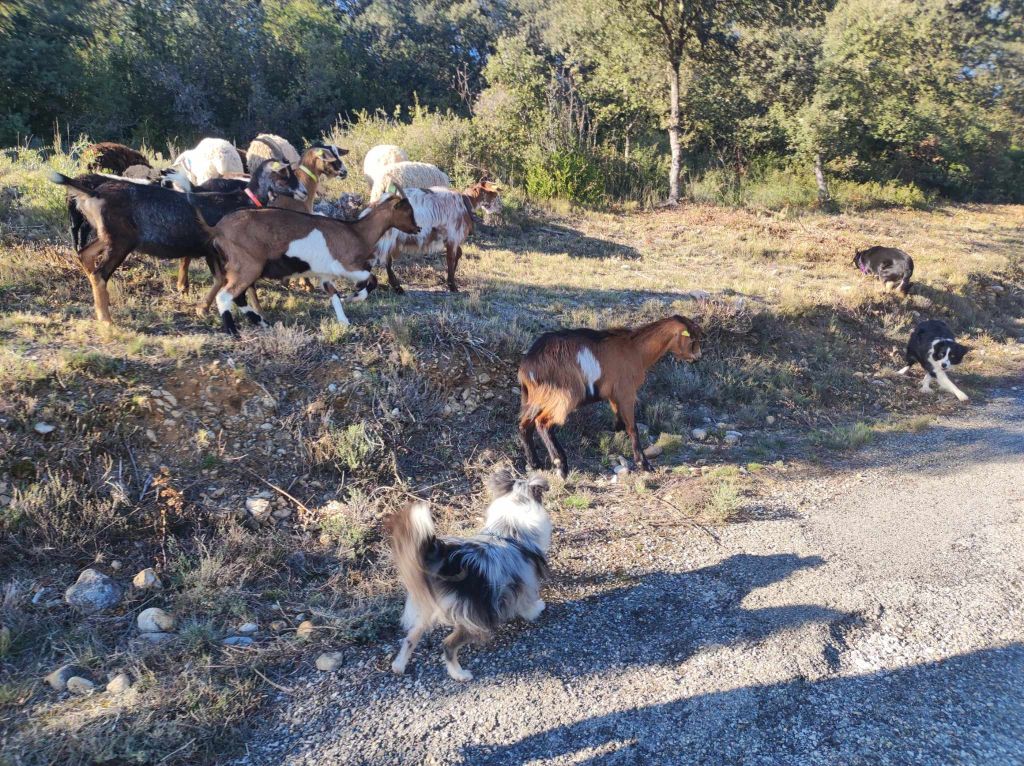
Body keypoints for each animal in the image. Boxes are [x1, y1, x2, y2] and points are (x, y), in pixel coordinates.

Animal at [49, 160, 305, 323]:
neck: (239, 199)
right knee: (100, 273)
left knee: (85, 254)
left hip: (107, 237)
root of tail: (95, 193)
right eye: (286, 176)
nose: (302, 192)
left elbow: (221, 278)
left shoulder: (211, 250)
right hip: (121, 241)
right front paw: (258, 312)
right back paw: (107, 321)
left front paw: (203, 309)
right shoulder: (226, 250)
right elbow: (239, 281)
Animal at [196, 191, 419, 336]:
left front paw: (344, 321)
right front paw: (354, 297)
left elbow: (334, 296)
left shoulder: (326, 275)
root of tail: (217, 228)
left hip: (241, 268)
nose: (418, 228)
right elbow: (371, 279)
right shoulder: (346, 266)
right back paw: (233, 331)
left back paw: (262, 322)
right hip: (247, 266)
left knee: (238, 296)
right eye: (408, 211)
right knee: (226, 295)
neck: (357, 232)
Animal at [371, 181, 501, 293]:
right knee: (386, 259)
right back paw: (397, 287)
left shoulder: (449, 238)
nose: (500, 208)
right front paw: (452, 285)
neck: (465, 203)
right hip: (389, 236)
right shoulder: (453, 236)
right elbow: (451, 258)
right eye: (494, 194)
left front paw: (449, 280)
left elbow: (458, 254)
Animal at [387, 469, 551, 681]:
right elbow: (527, 601)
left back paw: (399, 665)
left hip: (428, 606)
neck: (509, 529)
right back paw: (459, 674)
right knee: (447, 645)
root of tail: (445, 562)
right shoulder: (525, 580)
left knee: (410, 636)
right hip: (473, 617)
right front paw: (536, 609)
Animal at [517, 315, 703, 477]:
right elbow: (632, 427)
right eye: (693, 340)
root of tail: (529, 366)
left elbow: (620, 422)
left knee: (524, 425)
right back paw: (560, 465)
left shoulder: (613, 395)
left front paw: (611, 433)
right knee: (542, 423)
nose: (697, 358)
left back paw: (535, 464)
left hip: (536, 398)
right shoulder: (626, 392)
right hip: (564, 396)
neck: (636, 349)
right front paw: (644, 464)